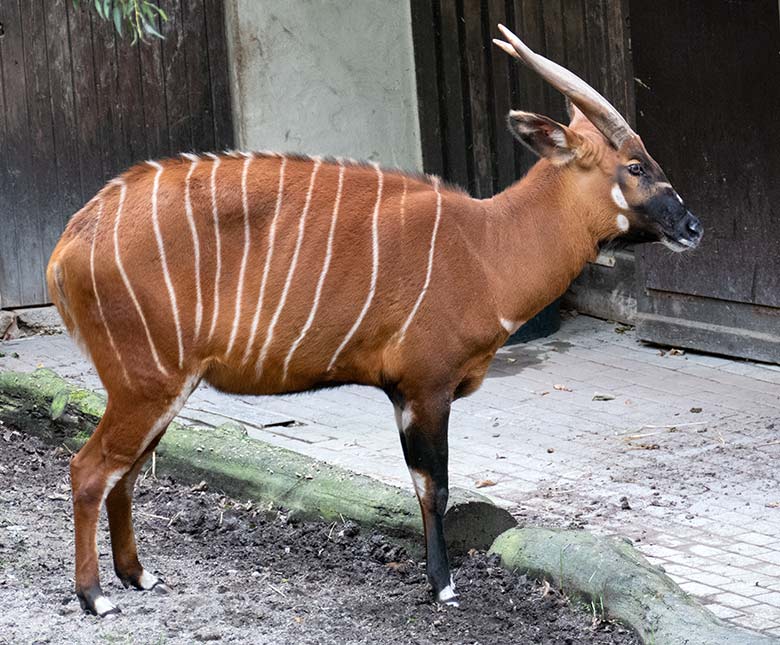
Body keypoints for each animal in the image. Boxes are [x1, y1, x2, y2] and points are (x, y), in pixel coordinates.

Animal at [45, 25, 704, 612]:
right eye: (636, 167)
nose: (693, 227)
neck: (487, 246)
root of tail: (70, 242)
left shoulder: (405, 393)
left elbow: (422, 486)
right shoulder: (425, 387)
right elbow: (435, 487)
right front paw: (444, 589)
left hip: (162, 389)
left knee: (125, 472)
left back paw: (140, 577)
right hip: (147, 382)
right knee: (89, 468)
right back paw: (96, 597)